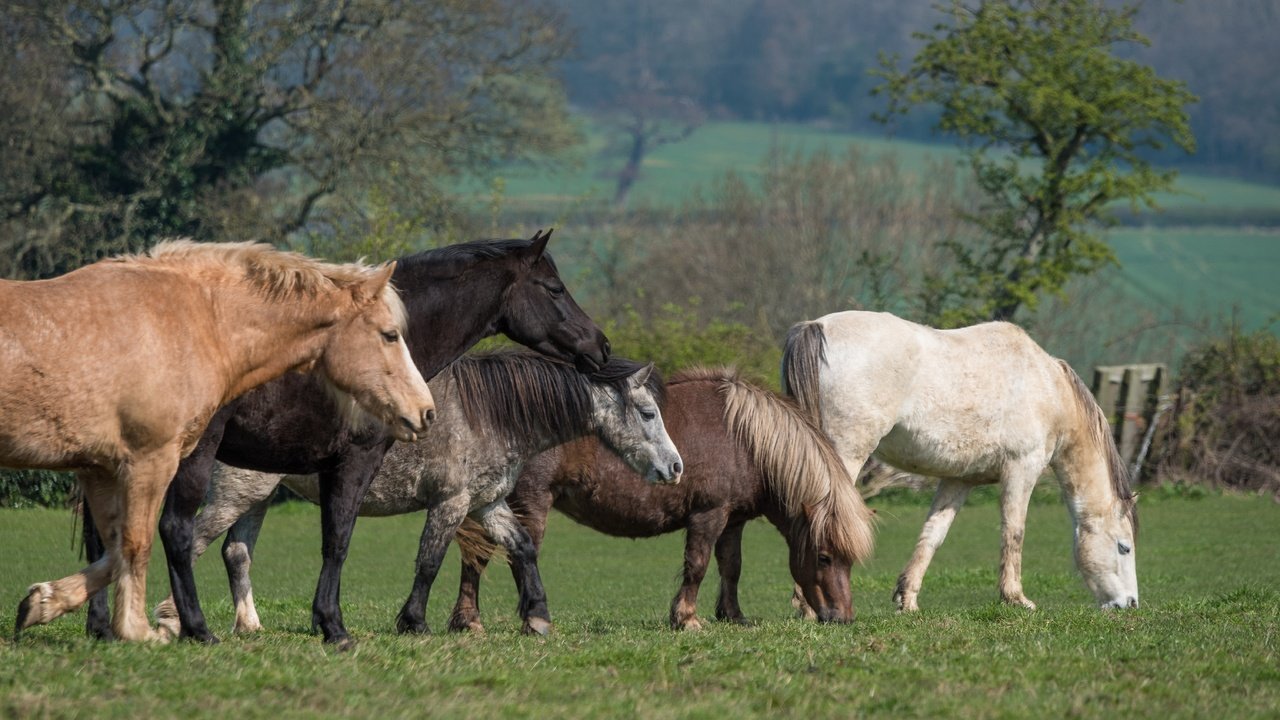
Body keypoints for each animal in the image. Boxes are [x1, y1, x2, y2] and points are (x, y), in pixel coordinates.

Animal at [2, 240, 435, 638]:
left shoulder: (99, 468)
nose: (426, 411)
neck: (191, 321)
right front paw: (139, 630)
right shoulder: (150, 460)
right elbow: (140, 542)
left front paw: (44, 602)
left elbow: (115, 547)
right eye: (390, 335)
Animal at [445, 363, 875, 627]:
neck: (744, 439)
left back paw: (468, 620)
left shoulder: (732, 520)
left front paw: (732, 615)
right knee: (508, 555)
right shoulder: (708, 515)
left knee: (477, 556)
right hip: (529, 505)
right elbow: (697, 565)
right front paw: (686, 618)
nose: (843, 617)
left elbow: (731, 567)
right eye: (824, 556)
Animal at [778, 310, 1141, 609]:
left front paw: (908, 600)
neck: (1048, 389)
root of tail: (817, 326)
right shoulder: (1021, 470)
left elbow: (933, 535)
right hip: (845, 454)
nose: (1130, 603)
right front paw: (1015, 598)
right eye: (1124, 547)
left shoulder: (958, 480)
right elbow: (1014, 531)